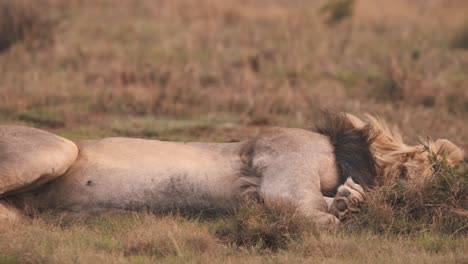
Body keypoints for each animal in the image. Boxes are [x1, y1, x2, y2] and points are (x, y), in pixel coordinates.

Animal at [0, 112, 462, 228]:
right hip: (58, 148)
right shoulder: (285, 171)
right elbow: (317, 214)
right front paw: (346, 207)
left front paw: (350, 200)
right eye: (439, 174)